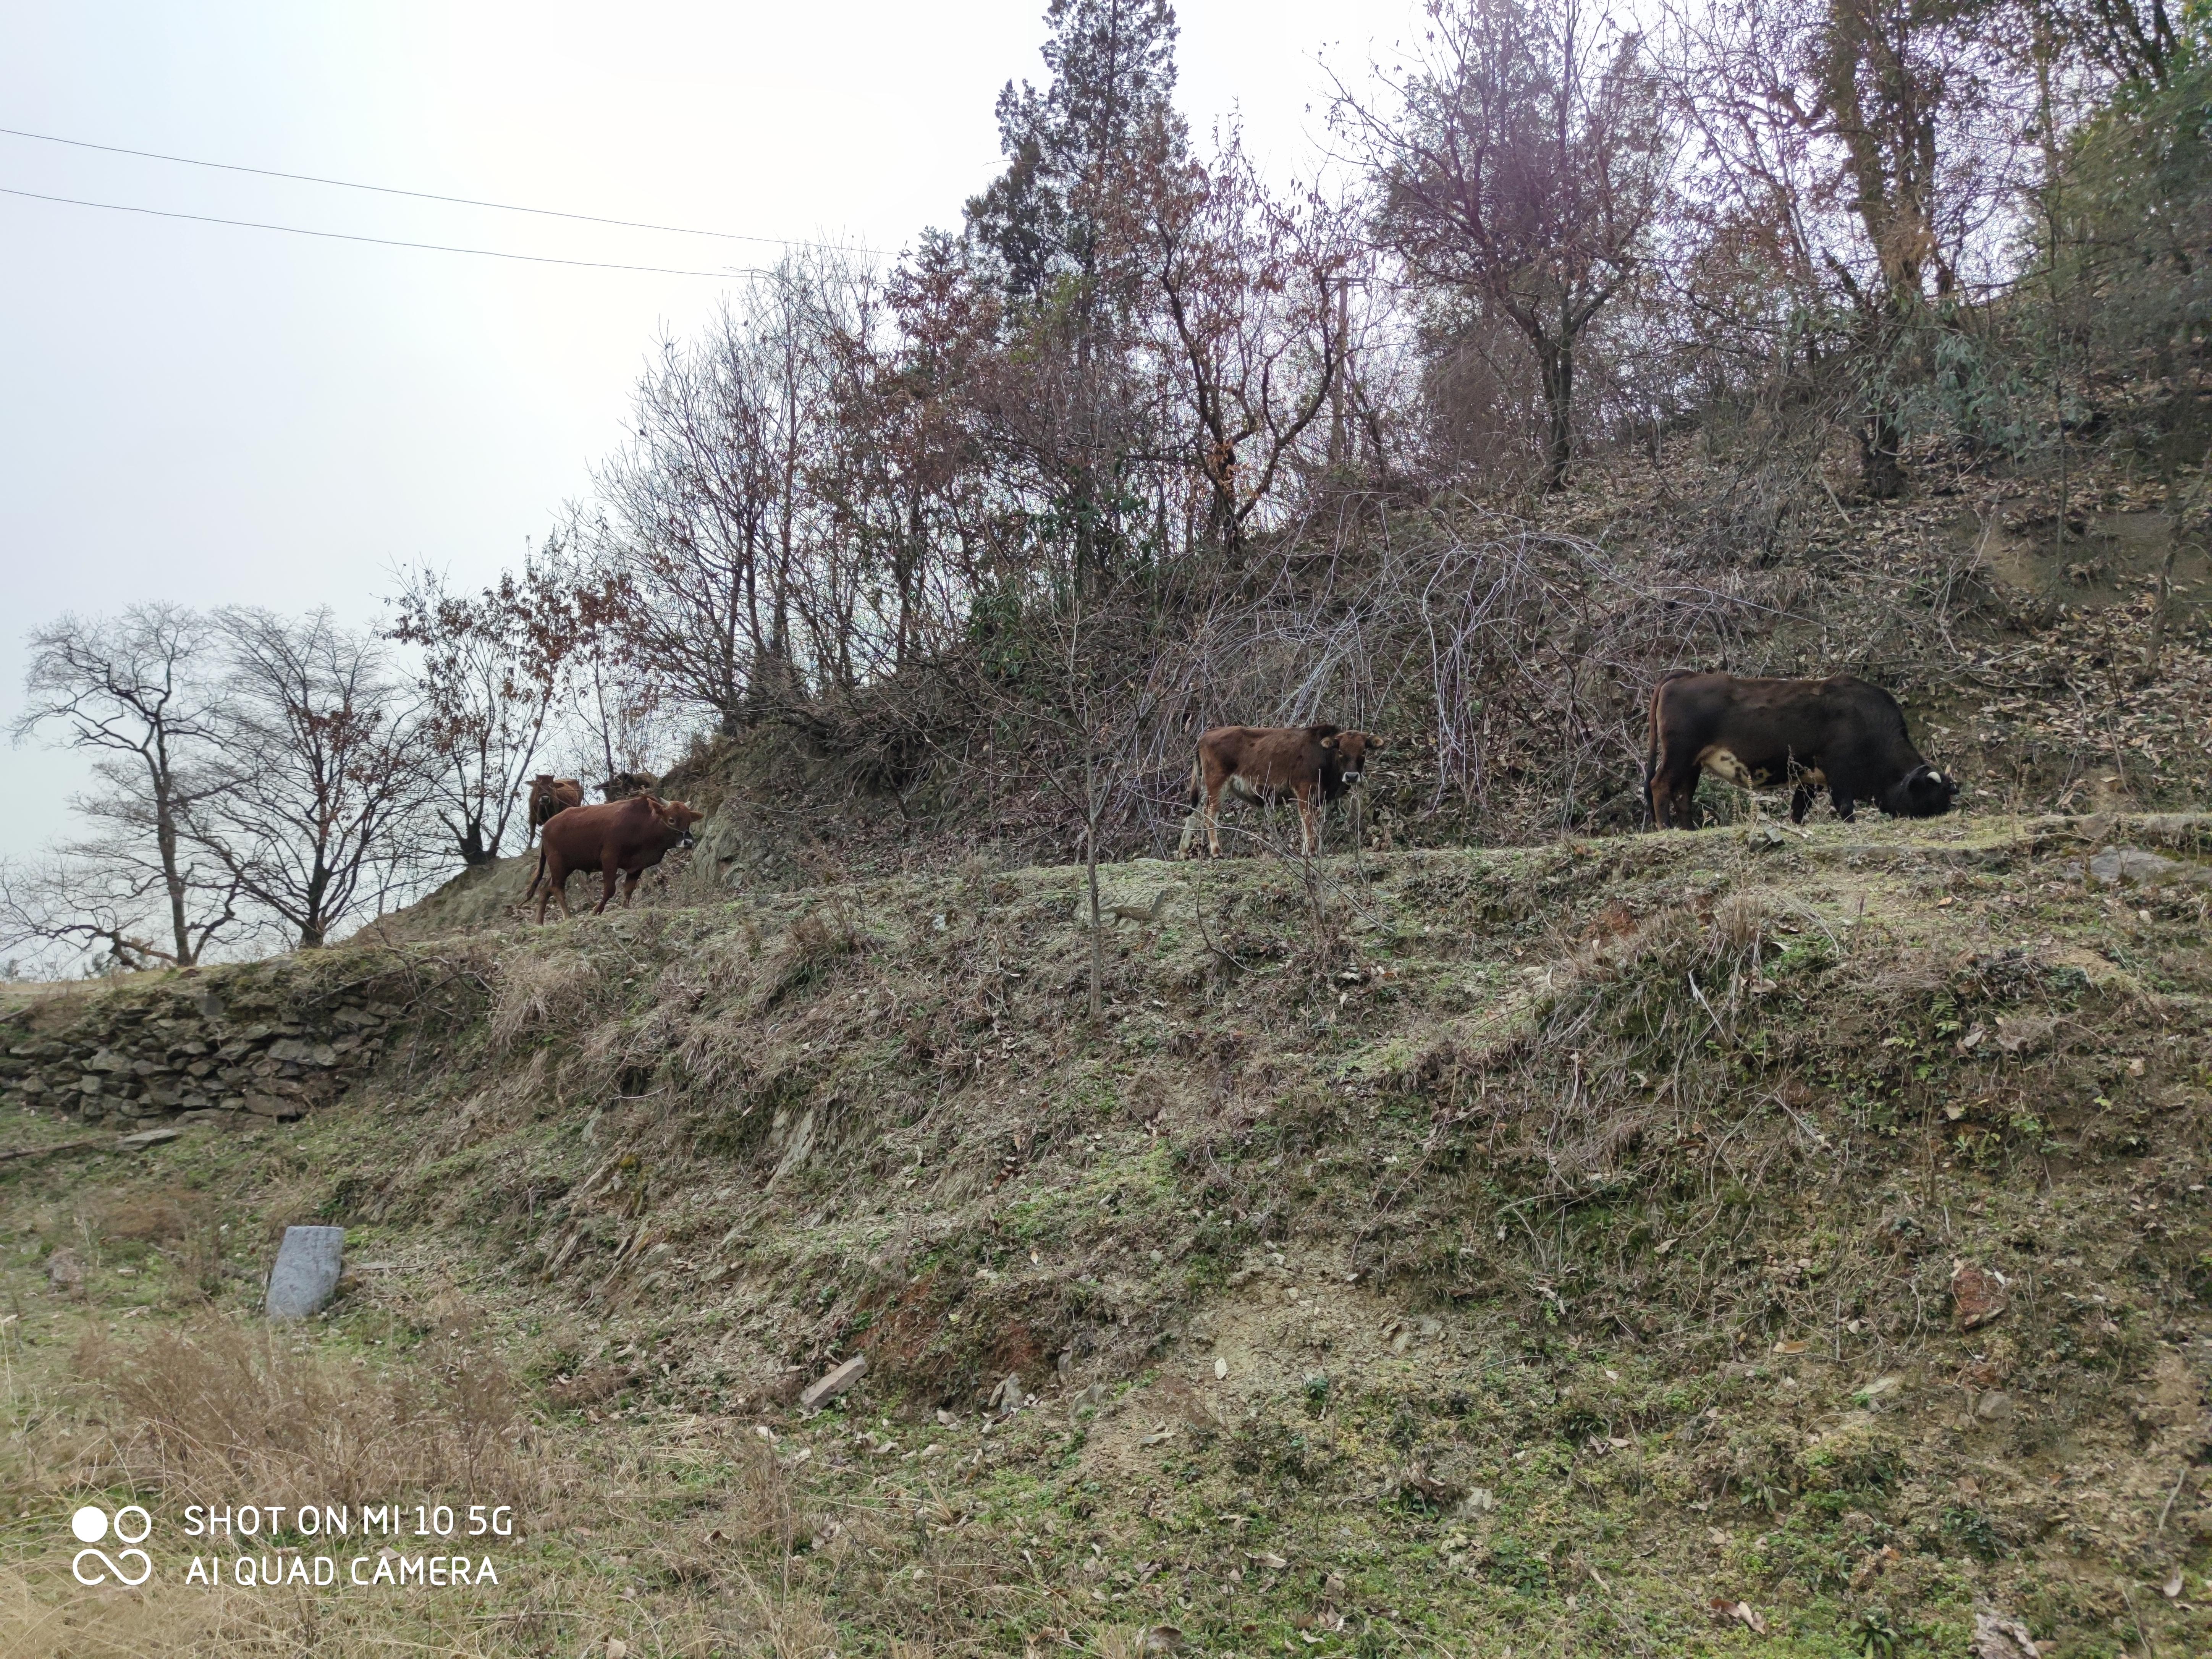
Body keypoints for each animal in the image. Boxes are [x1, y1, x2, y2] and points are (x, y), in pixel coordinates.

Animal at [522, 778, 584, 845]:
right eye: (538, 786)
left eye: (551, 788)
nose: (545, 799)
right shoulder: (532, 817)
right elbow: (532, 835)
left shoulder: (554, 814)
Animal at [526, 792, 699, 925]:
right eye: (672, 820)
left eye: (688, 821)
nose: (689, 842)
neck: (644, 825)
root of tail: (547, 826)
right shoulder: (609, 857)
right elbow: (610, 890)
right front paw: (595, 911)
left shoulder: (637, 866)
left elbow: (628, 890)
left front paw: (625, 908)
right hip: (558, 864)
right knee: (556, 888)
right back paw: (568, 917)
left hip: (565, 866)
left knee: (545, 889)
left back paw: (539, 923)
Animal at [1185, 725, 1371, 862]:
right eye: (1341, 751)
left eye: (1363, 752)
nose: (1352, 776)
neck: (1324, 753)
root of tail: (1207, 735)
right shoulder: (1305, 792)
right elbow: (1308, 820)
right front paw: (1310, 852)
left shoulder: (1320, 799)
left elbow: (1317, 822)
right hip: (1217, 785)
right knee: (1210, 813)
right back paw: (1217, 852)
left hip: (1206, 787)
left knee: (1194, 813)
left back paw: (1182, 852)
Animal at [1646, 672, 1955, 831]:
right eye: (1931, 799)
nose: (1941, 817)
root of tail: (1686, 676)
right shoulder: (1838, 774)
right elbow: (1846, 808)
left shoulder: (1810, 780)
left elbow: (1798, 809)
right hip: (1679, 755)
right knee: (1659, 785)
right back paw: (1666, 828)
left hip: (1693, 763)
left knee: (1683, 795)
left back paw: (1688, 831)